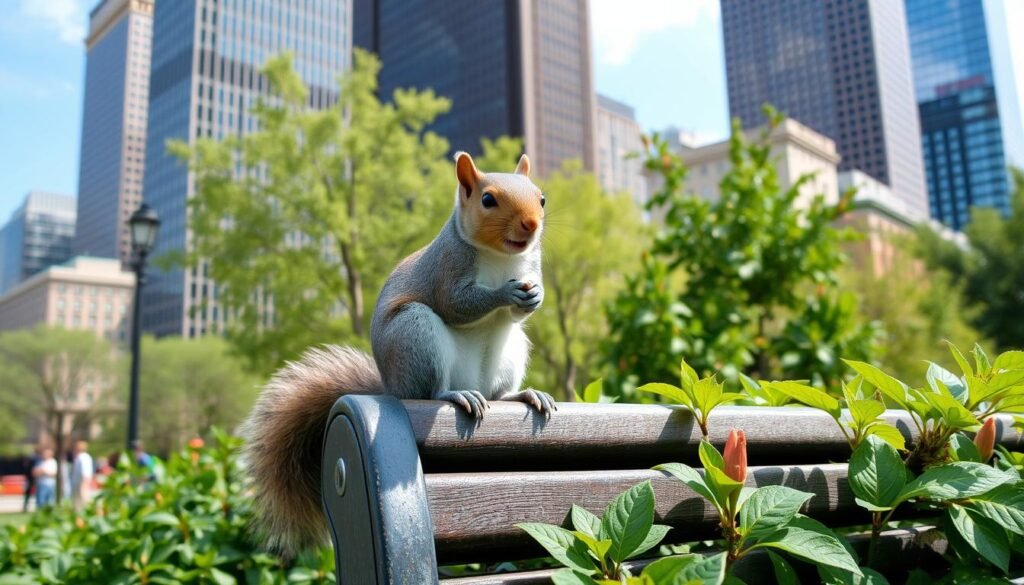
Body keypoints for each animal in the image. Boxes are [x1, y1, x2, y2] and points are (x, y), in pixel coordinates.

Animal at [238, 149, 557, 553]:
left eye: (542, 198)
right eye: (487, 200)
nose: (531, 224)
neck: (501, 258)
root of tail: (391, 385)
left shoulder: (531, 264)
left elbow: (521, 307)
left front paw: (535, 296)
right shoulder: (446, 268)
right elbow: (457, 304)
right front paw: (503, 294)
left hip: (512, 349)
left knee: (498, 391)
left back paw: (523, 395)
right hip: (415, 335)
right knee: (429, 391)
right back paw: (456, 394)